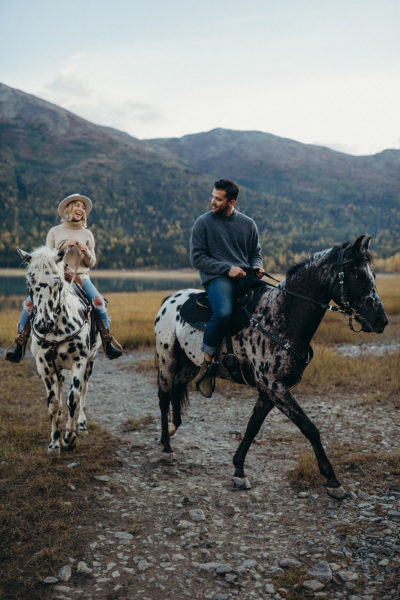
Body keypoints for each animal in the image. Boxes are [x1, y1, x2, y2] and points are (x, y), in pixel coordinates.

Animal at [17, 246, 100, 458]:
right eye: (29, 281)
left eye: (57, 281)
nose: (43, 324)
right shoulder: (44, 366)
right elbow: (53, 403)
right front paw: (54, 443)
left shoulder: (79, 361)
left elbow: (73, 397)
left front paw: (69, 437)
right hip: (57, 369)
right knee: (60, 389)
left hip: (90, 362)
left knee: (84, 390)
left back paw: (81, 424)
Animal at [155, 237, 388, 500]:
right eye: (358, 275)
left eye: (373, 275)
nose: (380, 320)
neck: (280, 316)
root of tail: (169, 299)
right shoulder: (275, 388)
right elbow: (310, 428)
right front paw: (332, 480)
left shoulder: (269, 391)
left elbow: (252, 427)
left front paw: (239, 470)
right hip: (167, 361)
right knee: (163, 397)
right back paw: (166, 448)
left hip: (188, 365)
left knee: (176, 392)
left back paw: (172, 431)